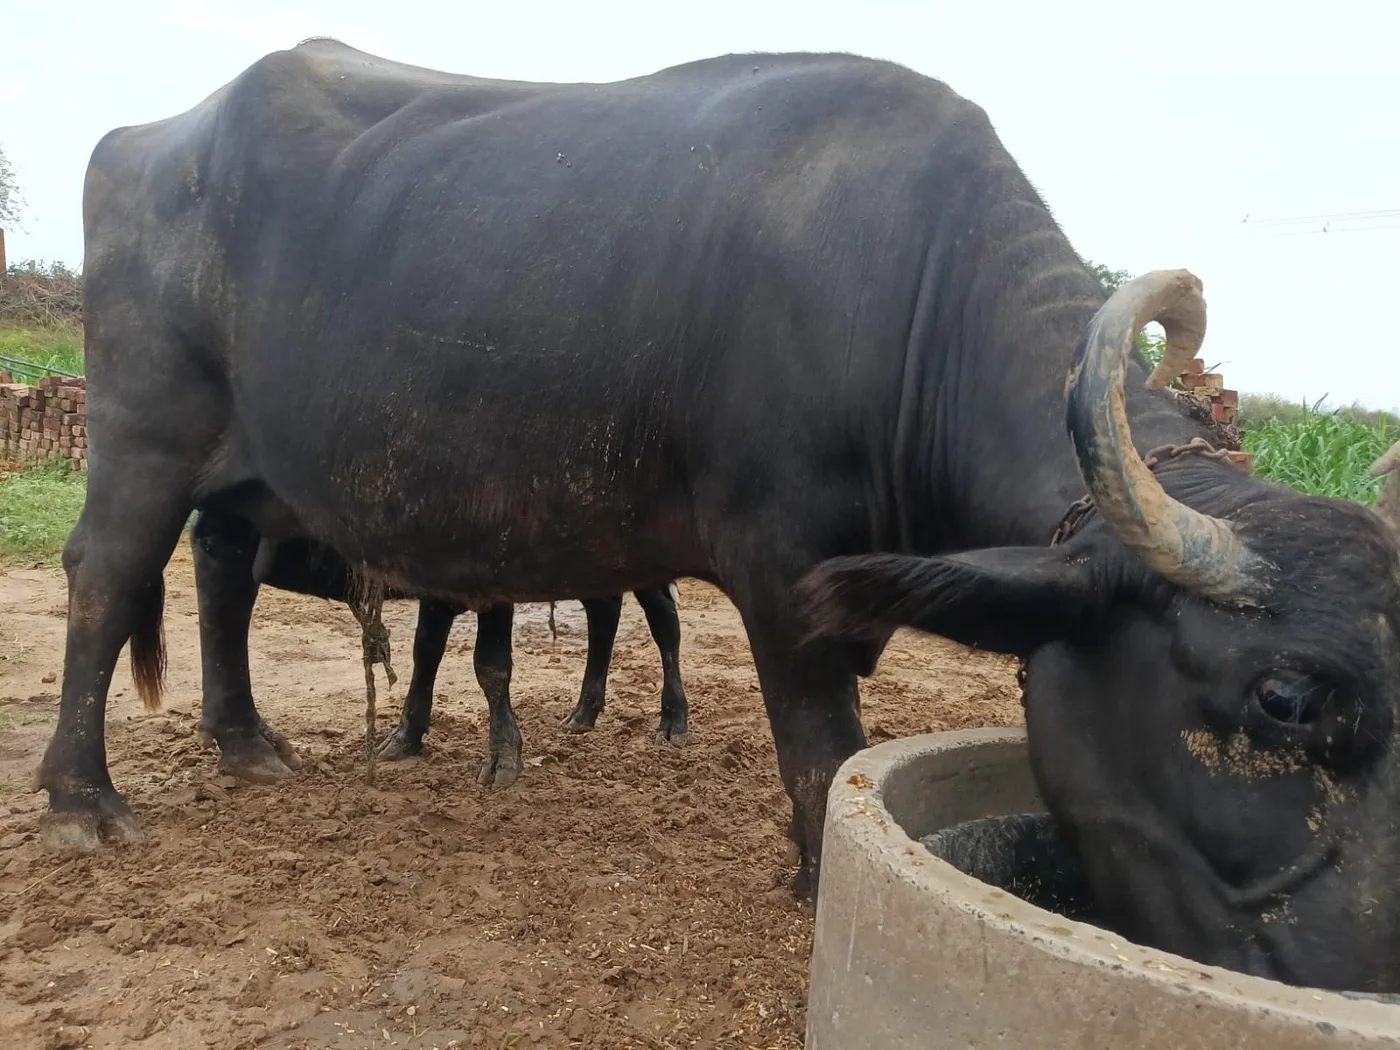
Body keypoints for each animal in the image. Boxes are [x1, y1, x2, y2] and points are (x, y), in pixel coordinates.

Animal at [39, 40, 1400, 990]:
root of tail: (151, 139)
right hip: (145, 434)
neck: (907, 305)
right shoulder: (779, 569)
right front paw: (813, 879)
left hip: (246, 477)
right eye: (1281, 700)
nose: (1360, 977)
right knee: (107, 575)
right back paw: (82, 801)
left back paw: (244, 743)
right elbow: (820, 748)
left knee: (218, 572)